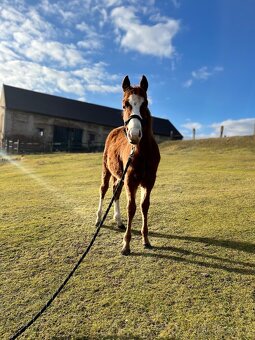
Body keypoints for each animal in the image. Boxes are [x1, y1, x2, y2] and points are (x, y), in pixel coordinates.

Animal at [95, 75, 159, 255]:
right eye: (125, 104)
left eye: (145, 104)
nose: (134, 134)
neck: (142, 152)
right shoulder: (131, 180)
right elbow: (131, 208)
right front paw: (126, 244)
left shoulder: (149, 181)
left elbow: (145, 206)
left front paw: (146, 239)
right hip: (106, 170)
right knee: (103, 190)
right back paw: (98, 218)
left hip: (119, 175)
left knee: (115, 191)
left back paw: (118, 221)